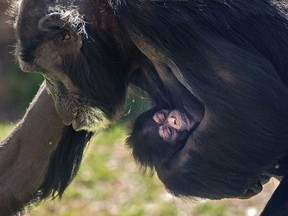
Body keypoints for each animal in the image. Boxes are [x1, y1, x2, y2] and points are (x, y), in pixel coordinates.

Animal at [8, 0, 288, 215]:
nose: (59, 103)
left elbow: (253, 107)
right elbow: (26, 159)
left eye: (46, 72)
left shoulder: (152, 15)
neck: (112, 22)